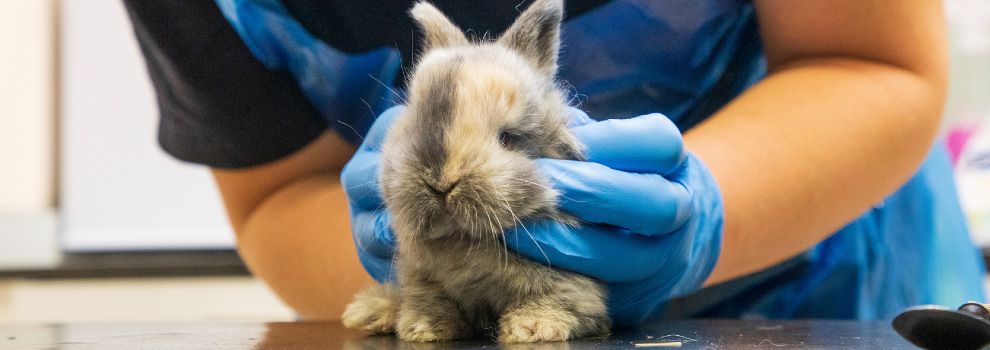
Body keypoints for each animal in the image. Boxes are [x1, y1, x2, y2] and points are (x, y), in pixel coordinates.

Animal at [344, 0, 616, 344]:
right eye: (413, 123)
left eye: (507, 138)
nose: (442, 182)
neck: (467, 243)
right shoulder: (420, 275)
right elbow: (429, 299)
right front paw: (423, 327)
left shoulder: (574, 277)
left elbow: (561, 298)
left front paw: (533, 328)